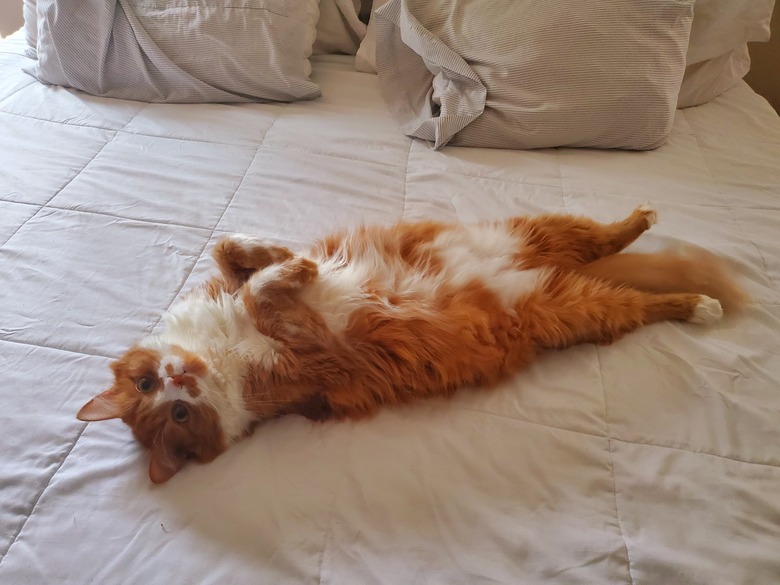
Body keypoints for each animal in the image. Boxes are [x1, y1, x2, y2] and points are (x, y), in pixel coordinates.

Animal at [77, 208, 744, 482]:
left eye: (148, 384)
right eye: (175, 413)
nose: (179, 380)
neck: (220, 350)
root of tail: (538, 268)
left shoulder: (230, 286)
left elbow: (240, 255)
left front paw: (286, 257)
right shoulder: (315, 355)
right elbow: (268, 292)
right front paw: (293, 274)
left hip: (535, 230)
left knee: (603, 234)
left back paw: (643, 219)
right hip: (577, 306)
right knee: (638, 300)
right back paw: (697, 304)